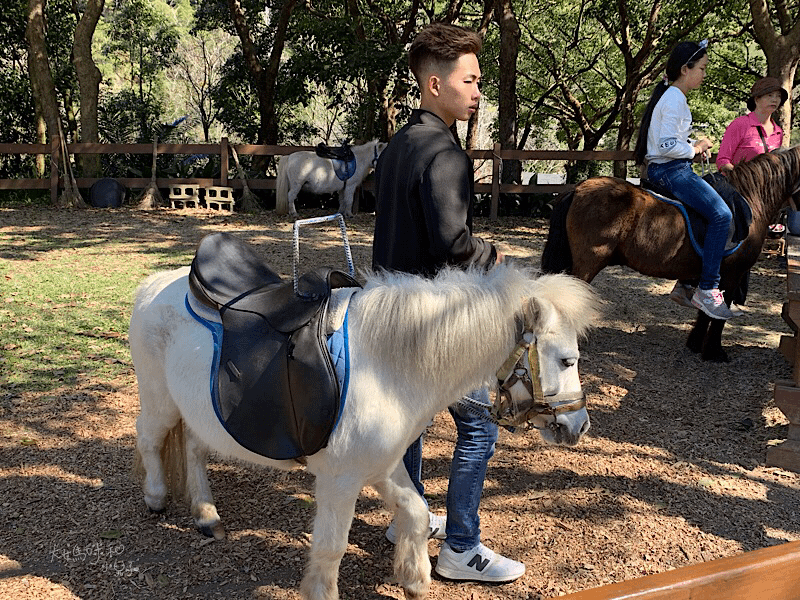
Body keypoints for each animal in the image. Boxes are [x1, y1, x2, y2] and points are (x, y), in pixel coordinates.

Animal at [128, 262, 596, 600]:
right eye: (567, 360)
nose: (579, 425)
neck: (386, 368)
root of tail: (154, 284)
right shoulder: (340, 479)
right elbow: (332, 546)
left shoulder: (380, 466)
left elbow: (416, 510)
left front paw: (414, 579)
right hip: (160, 399)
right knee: (149, 438)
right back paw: (155, 497)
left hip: (197, 410)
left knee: (193, 449)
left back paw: (206, 515)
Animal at [536, 146, 800, 360]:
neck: (750, 200)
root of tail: (578, 189)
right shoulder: (732, 275)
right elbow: (718, 317)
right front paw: (714, 352)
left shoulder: (712, 275)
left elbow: (705, 312)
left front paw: (695, 344)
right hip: (587, 263)